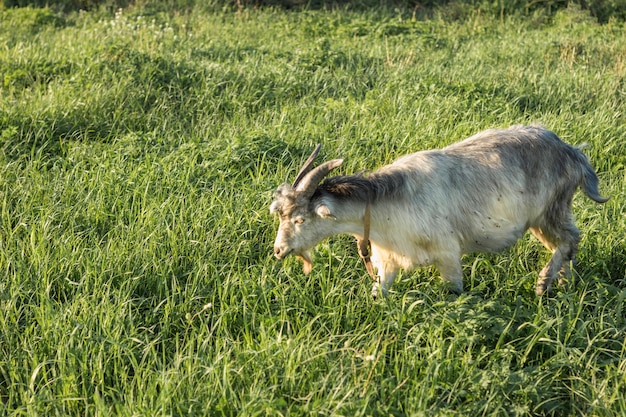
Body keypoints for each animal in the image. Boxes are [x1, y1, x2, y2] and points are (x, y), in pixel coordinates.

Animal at [266, 125, 604, 298]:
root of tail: (572, 152)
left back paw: (543, 283)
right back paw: (563, 284)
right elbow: (378, 293)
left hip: (550, 210)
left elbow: (453, 291)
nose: (278, 251)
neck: (385, 201)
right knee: (568, 244)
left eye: (300, 218)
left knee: (569, 239)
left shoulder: (447, 254)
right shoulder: (388, 262)